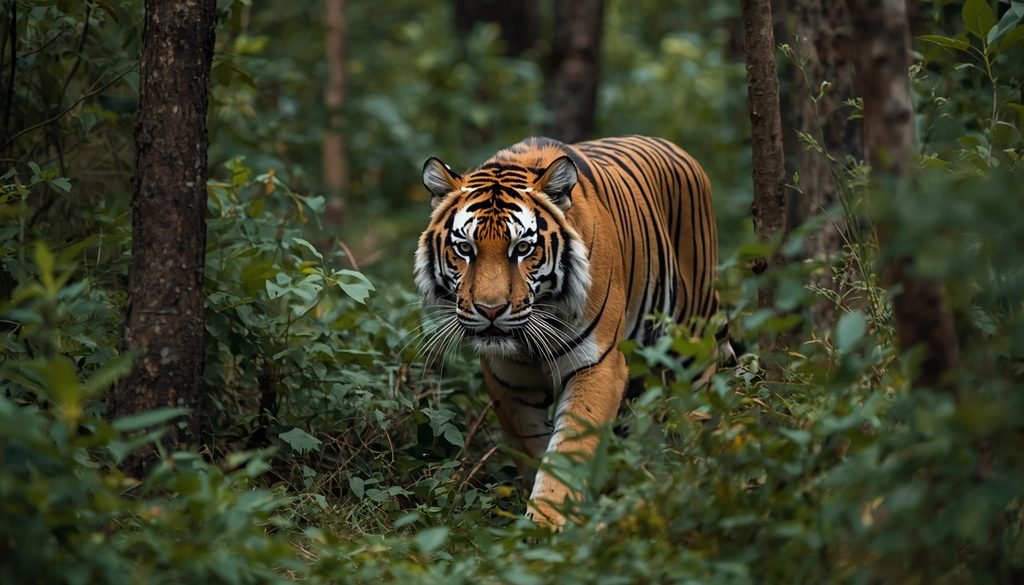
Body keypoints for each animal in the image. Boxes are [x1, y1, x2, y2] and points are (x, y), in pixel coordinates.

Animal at [414, 135, 720, 528]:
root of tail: (676, 148)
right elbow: (532, 444)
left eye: (522, 249)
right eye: (465, 248)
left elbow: (568, 450)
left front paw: (546, 525)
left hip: (692, 343)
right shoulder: (508, 380)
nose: (490, 310)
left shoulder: (597, 365)